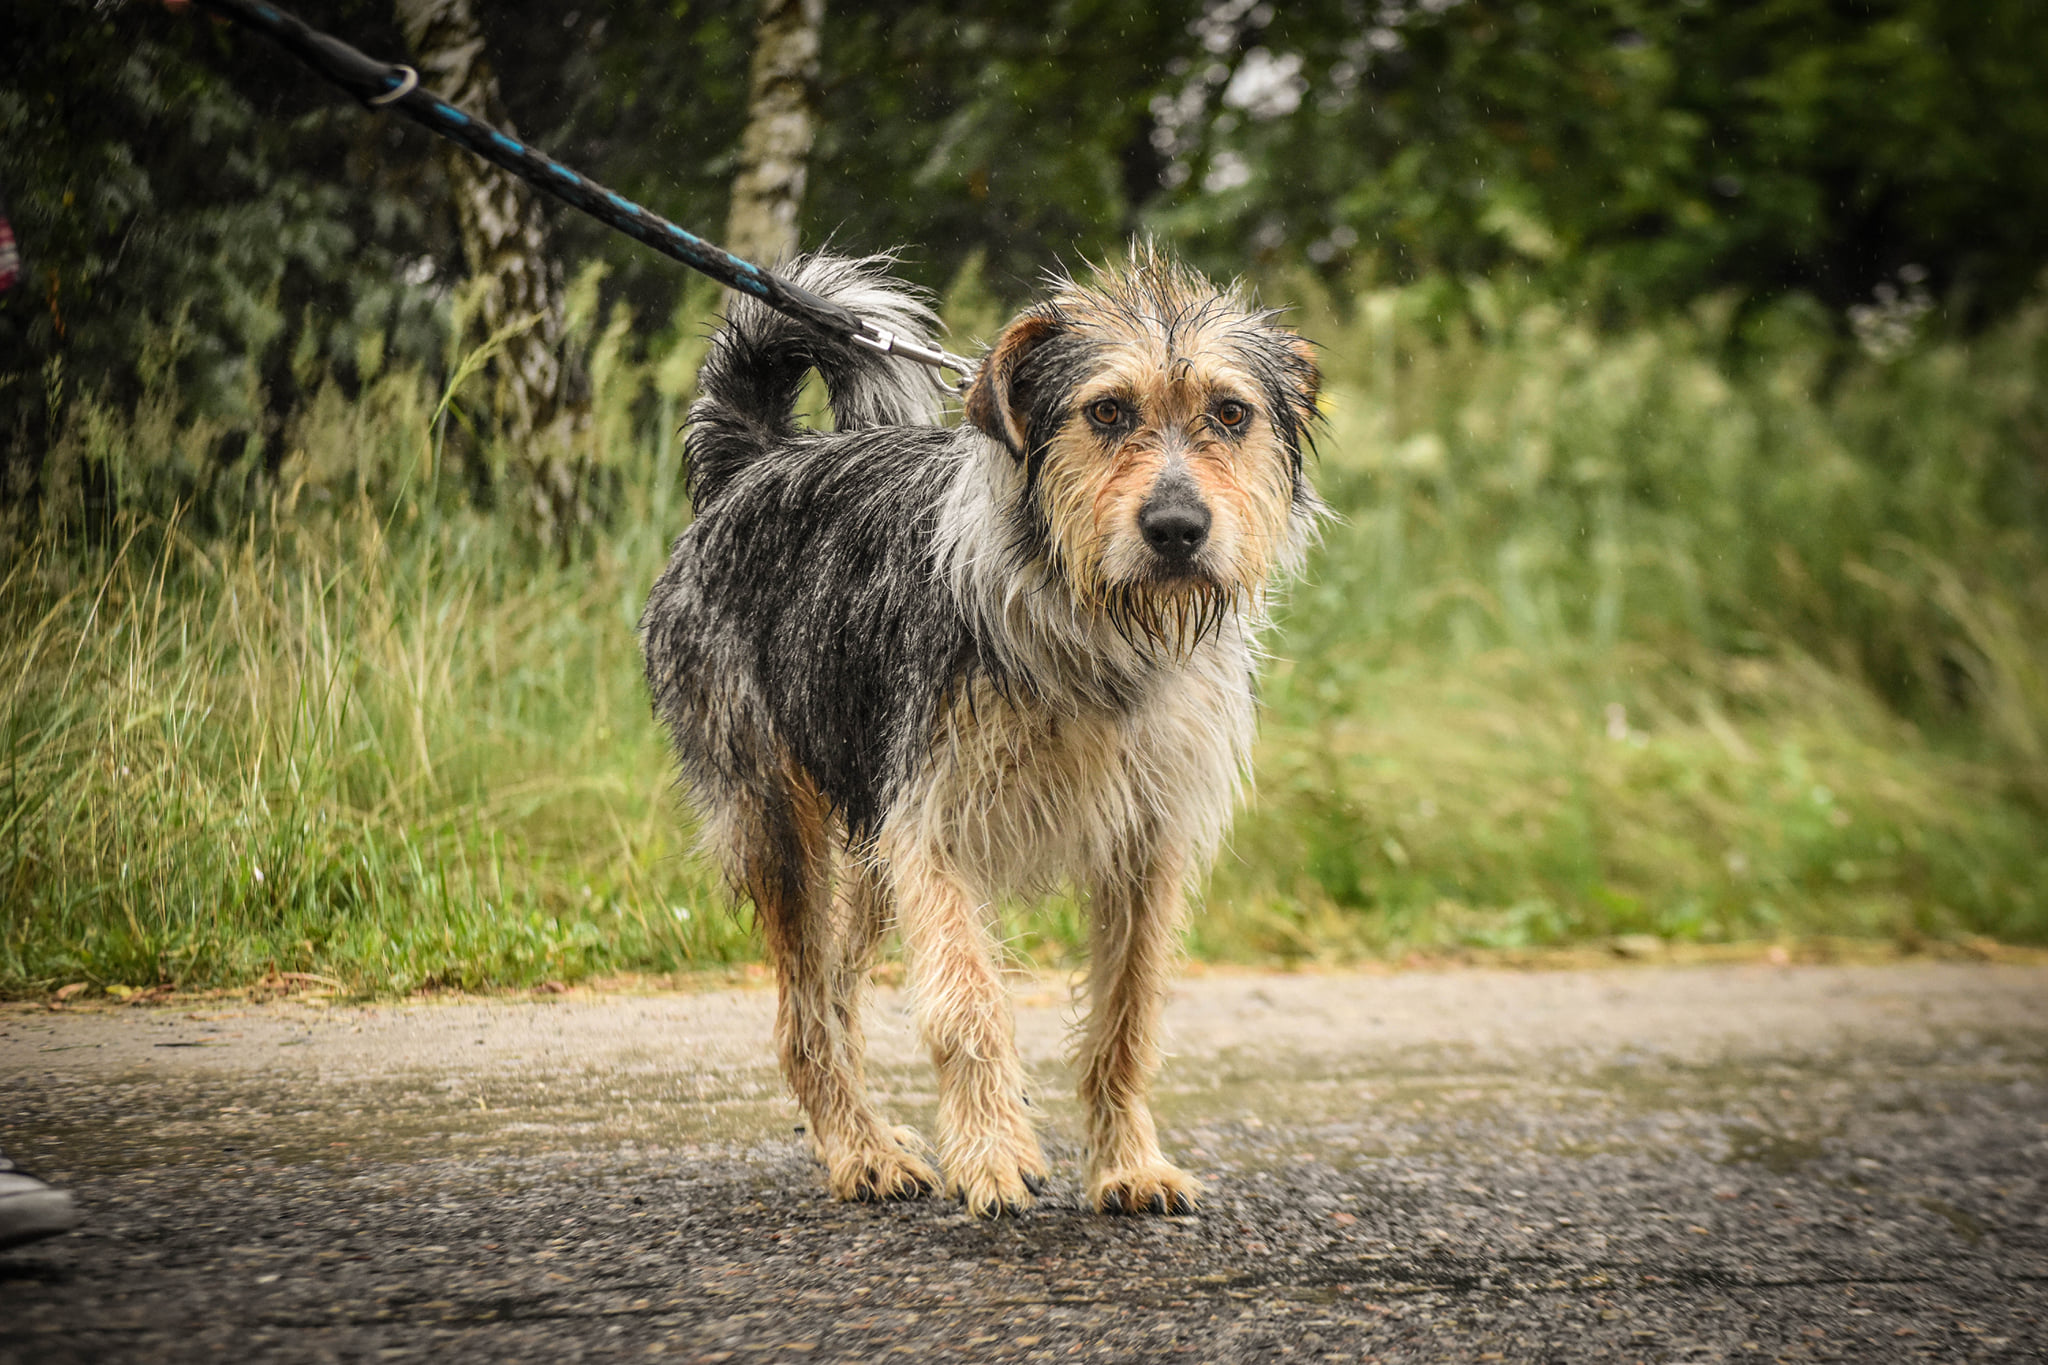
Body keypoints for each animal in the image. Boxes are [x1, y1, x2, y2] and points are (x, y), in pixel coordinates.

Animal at [641, 246, 1321, 1217]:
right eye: (1106, 411)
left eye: (1231, 413)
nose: (1178, 528)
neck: (1092, 632)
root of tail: (755, 463)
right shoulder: (933, 824)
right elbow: (967, 1003)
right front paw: (994, 1152)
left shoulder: (1147, 843)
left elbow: (1128, 1012)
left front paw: (1126, 1162)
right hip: (779, 820)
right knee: (803, 1014)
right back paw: (860, 1151)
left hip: (871, 842)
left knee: (836, 990)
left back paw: (872, 1135)